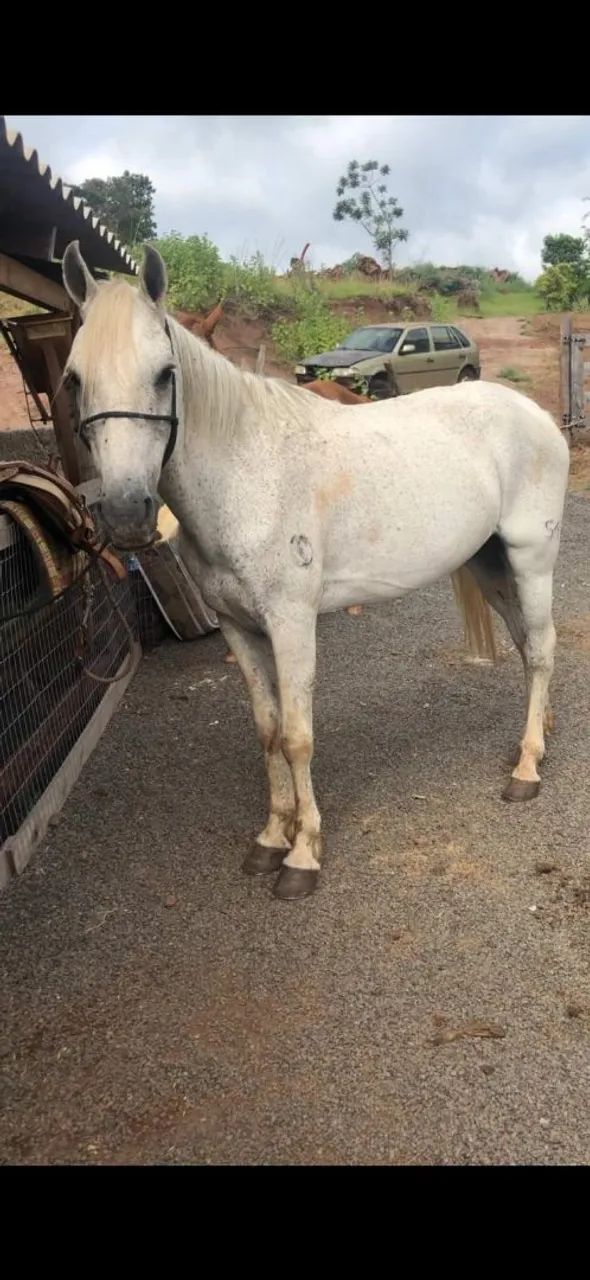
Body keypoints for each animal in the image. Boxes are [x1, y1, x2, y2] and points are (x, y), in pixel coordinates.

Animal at [62, 242, 570, 902]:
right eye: (74, 379)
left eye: (165, 373)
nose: (126, 513)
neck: (246, 474)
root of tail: (535, 413)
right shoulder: (237, 627)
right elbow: (267, 729)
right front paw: (270, 838)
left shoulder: (291, 622)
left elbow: (298, 735)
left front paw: (303, 854)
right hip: (490, 562)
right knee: (527, 642)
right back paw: (540, 735)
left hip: (532, 559)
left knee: (543, 647)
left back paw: (527, 769)